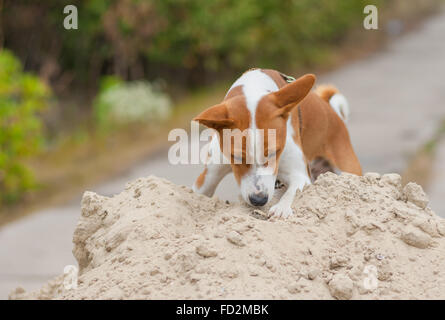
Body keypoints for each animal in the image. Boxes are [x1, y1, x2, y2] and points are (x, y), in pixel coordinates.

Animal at [192, 68, 360, 218]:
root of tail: (334, 113)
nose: (258, 200)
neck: (254, 86)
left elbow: (293, 191)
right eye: (237, 157)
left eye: (275, 152)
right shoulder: (208, 177)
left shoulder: (299, 173)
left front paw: (282, 208)